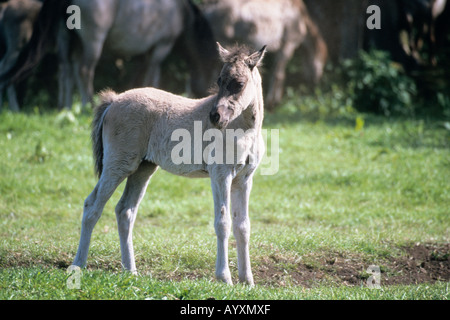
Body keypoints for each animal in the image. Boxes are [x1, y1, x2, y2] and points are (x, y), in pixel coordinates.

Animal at [0, 0, 220, 109]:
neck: (183, 14)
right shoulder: (160, 48)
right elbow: (153, 76)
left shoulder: (143, 54)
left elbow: (140, 78)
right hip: (93, 41)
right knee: (84, 71)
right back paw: (87, 104)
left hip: (66, 39)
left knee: (66, 71)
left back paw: (66, 106)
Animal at [71, 42, 268, 284]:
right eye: (220, 80)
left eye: (239, 84)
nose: (215, 117)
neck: (242, 131)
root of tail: (114, 101)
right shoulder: (220, 175)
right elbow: (223, 223)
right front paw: (224, 278)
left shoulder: (243, 179)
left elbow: (243, 226)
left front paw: (247, 281)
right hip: (118, 165)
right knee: (92, 206)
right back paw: (78, 265)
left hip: (143, 169)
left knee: (125, 211)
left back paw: (131, 271)